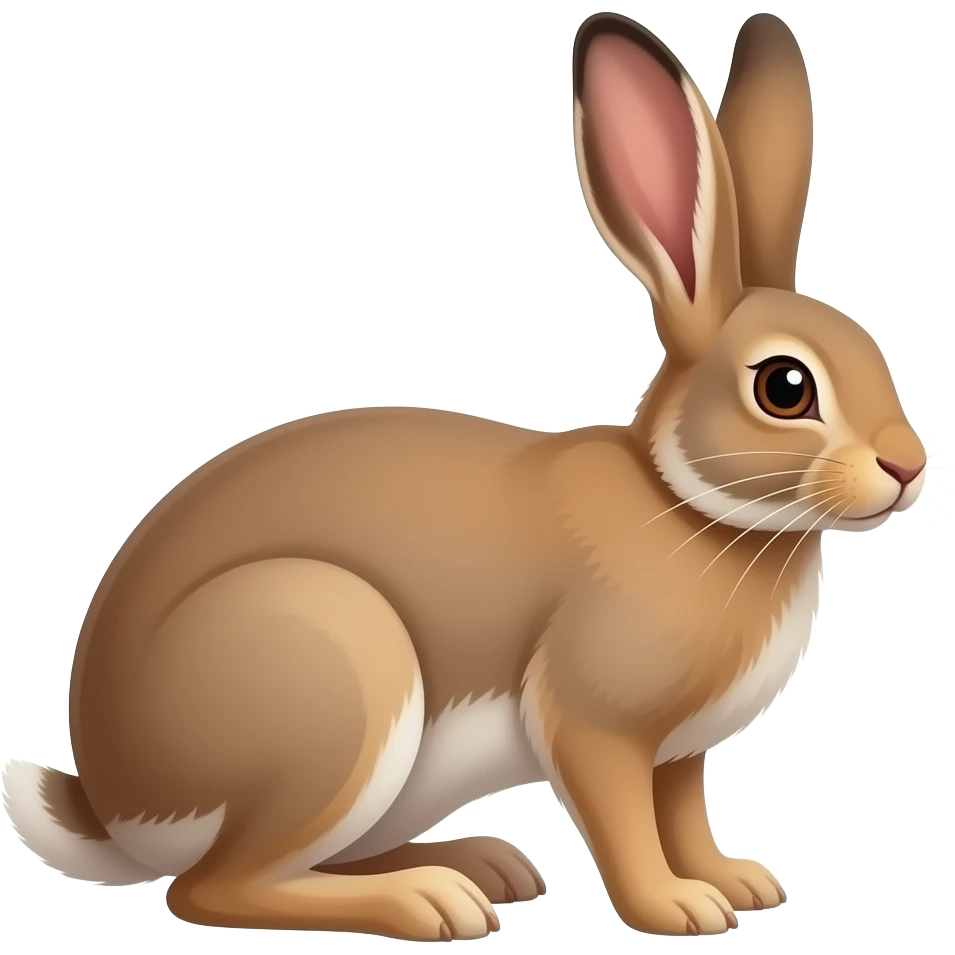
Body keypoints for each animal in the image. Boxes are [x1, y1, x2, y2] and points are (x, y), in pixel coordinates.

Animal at [2, 11, 927, 940]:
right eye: (784, 387)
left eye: (873, 350)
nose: (907, 466)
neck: (684, 501)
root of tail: (113, 802)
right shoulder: (596, 724)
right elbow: (627, 823)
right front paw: (675, 907)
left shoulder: (679, 752)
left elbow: (683, 813)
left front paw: (735, 882)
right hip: (338, 685)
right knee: (213, 887)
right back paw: (429, 901)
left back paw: (478, 863)